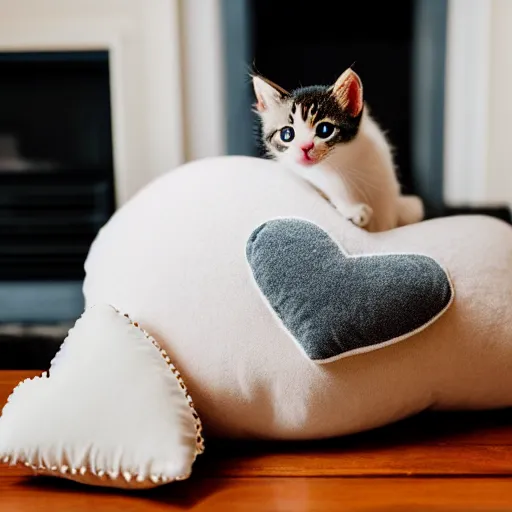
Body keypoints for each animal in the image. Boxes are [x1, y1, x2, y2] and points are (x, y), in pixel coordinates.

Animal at [252, 68, 424, 232]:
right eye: (286, 134)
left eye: (324, 130)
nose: (304, 147)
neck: (344, 162)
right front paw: (353, 210)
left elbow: (386, 219)